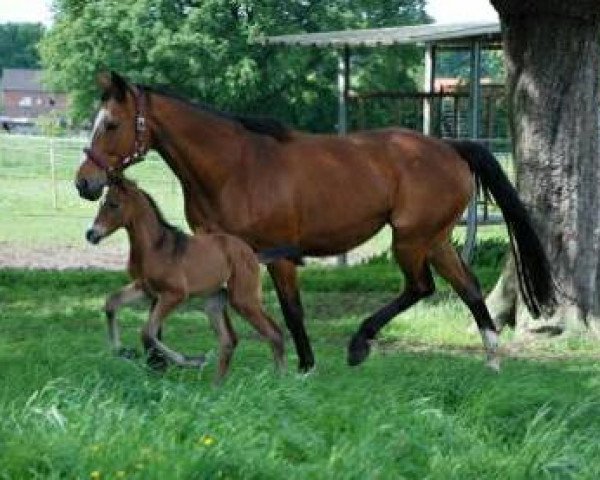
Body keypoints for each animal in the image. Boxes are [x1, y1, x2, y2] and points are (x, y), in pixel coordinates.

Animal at [85, 176, 288, 378]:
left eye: (114, 204)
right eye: (102, 202)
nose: (91, 234)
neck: (155, 247)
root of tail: (252, 254)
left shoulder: (174, 295)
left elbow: (147, 332)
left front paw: (192, 360)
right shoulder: (145, 288)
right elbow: (112, 303)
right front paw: (121, 350)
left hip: (243, 299)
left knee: (274, 333)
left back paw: (279, 380)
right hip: (214, 301)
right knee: (228, 341)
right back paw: (218, 384)